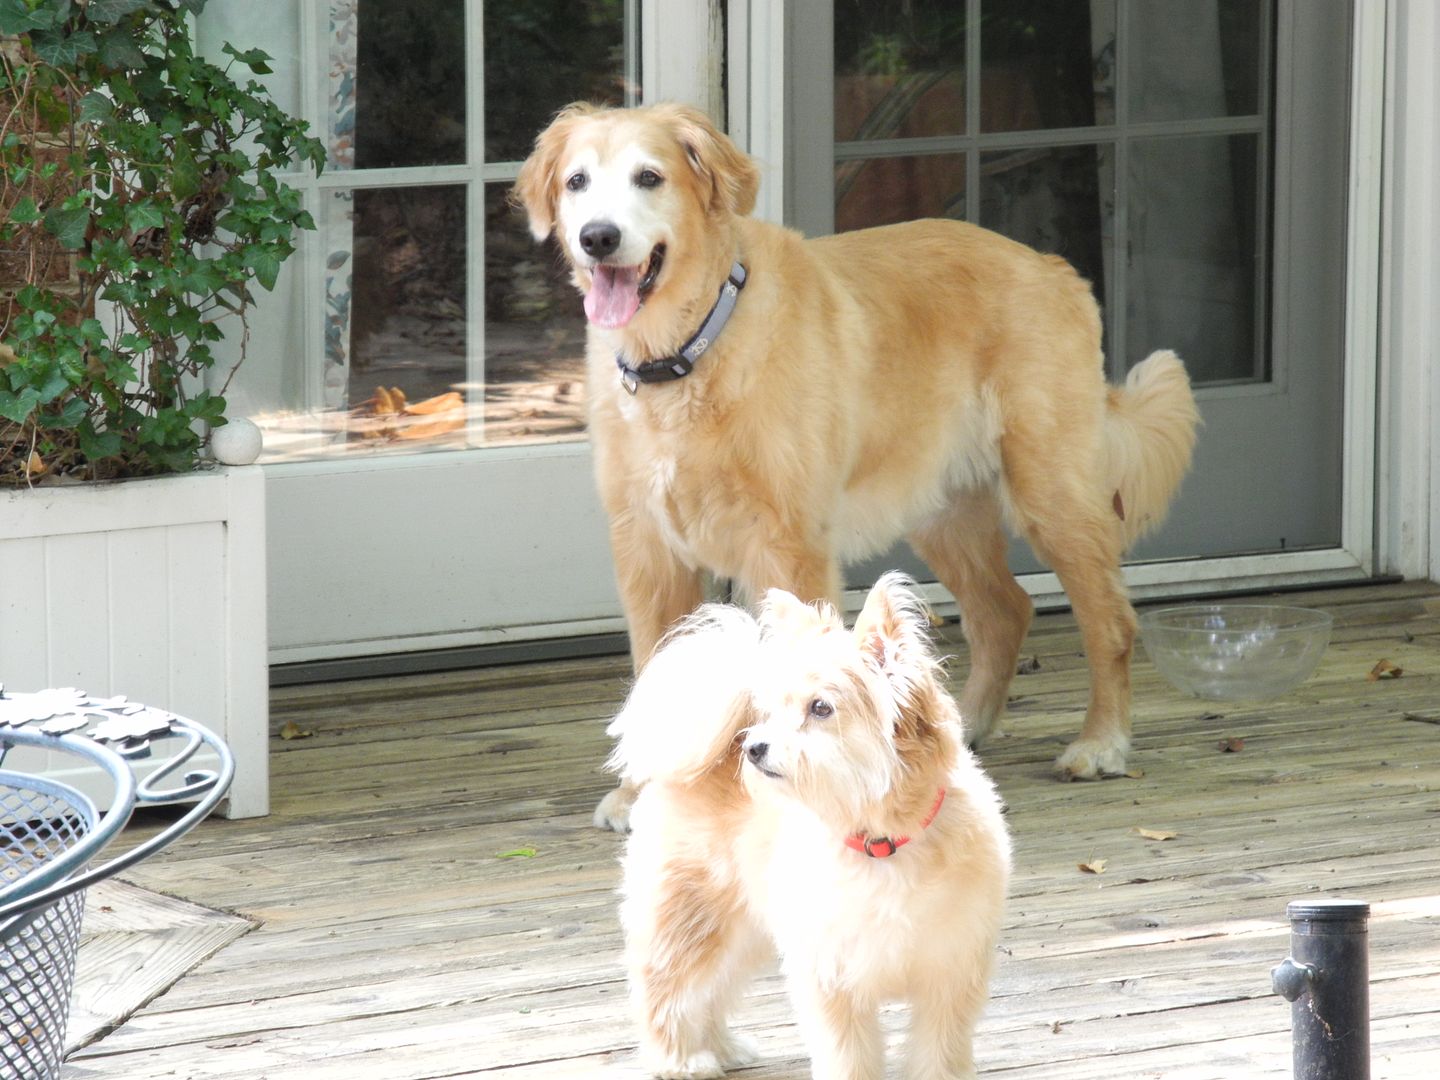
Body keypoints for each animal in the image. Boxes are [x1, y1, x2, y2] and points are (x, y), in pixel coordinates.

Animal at [512, 103, 1198, 829]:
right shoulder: (647, 549)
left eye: (649, 176)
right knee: (1003, 611)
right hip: (942, 510)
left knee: (1110, 620)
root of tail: (1052, 264)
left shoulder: (788, 547)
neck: (686, 353)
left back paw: (1101, 744)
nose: (598, 238)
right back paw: (957, 731)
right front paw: (643, 793)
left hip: (1051, 492)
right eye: (578, 181)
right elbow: (653, 680)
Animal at [607, 578, 1013, 1077]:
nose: (753, 748)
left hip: (745, 934)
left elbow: (938, 1054)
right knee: (667, 989)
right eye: (773, 711)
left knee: (712, 990)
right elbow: (849, 1059)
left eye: (820, 708)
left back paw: (722, 1046)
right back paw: (678, 1059)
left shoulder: (949, 976)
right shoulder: (831, 981)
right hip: (692, 919)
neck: (881, 842)